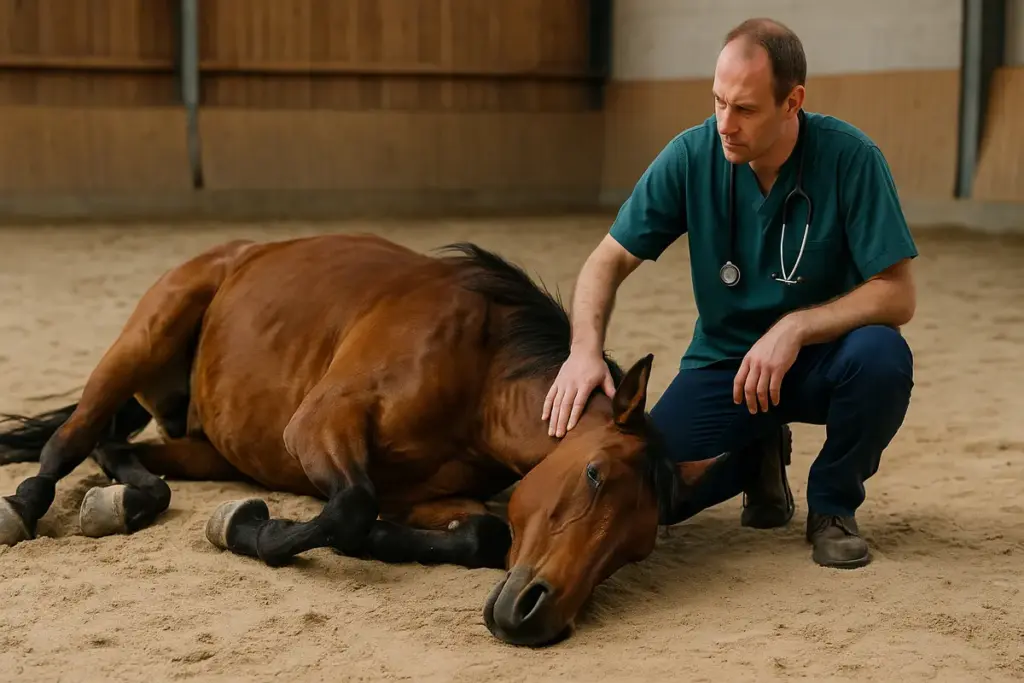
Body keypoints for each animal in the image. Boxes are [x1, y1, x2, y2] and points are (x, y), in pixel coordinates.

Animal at [0, 233, 725, 647]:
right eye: (594, 474)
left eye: (636, 548)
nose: (531, 618)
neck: (481, 367)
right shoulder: (321, 423)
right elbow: (350, 507)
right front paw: (247, 526)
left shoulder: (420, 496)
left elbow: (475, 532)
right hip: (143, 337)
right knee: (72, 437)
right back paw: (25, 507)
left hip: (206, 444)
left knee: (115, 449)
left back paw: (122, 502)